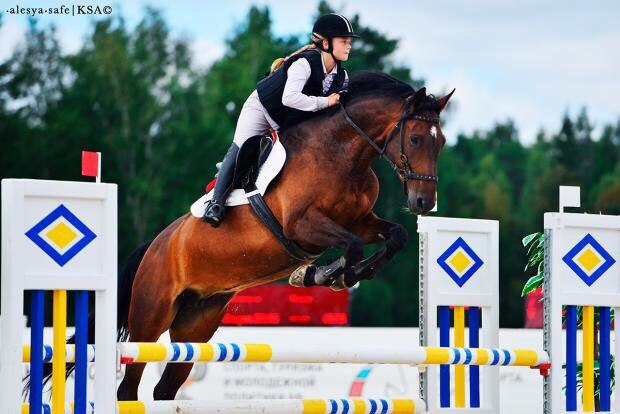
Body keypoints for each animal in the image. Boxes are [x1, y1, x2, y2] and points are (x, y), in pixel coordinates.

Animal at [47, 71, 454, 401]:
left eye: (443, 142)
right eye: (416, 139)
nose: (424, 202)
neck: (342, 153)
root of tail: (154, 246)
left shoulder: (360, 220)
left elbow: (396, 236)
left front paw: (338, 275)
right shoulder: (302, 225)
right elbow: (351, 247)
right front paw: (323, 275)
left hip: (195, 326)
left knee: (164, 390)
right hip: (149, 319)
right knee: (129, 387)